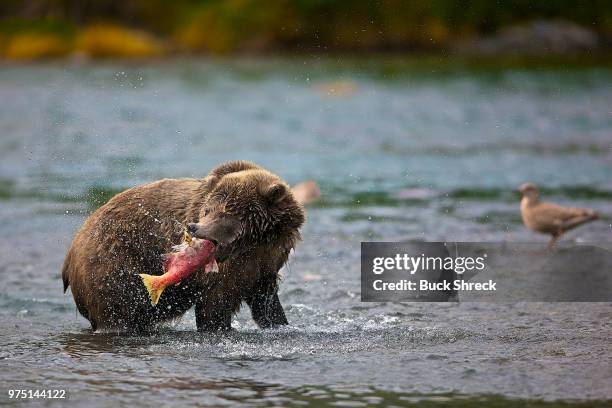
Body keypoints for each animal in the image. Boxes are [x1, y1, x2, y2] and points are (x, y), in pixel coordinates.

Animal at [61, 159, 304, 332]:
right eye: (208, 210)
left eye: (225, 213)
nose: (194, 227)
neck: (255, 244)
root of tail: (73, 247)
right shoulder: (223, 273)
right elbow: (214, 304)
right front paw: (219, 328)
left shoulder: (265, 263)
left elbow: (266, 301)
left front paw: (278, 323)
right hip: (113, 265)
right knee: (117, 308)